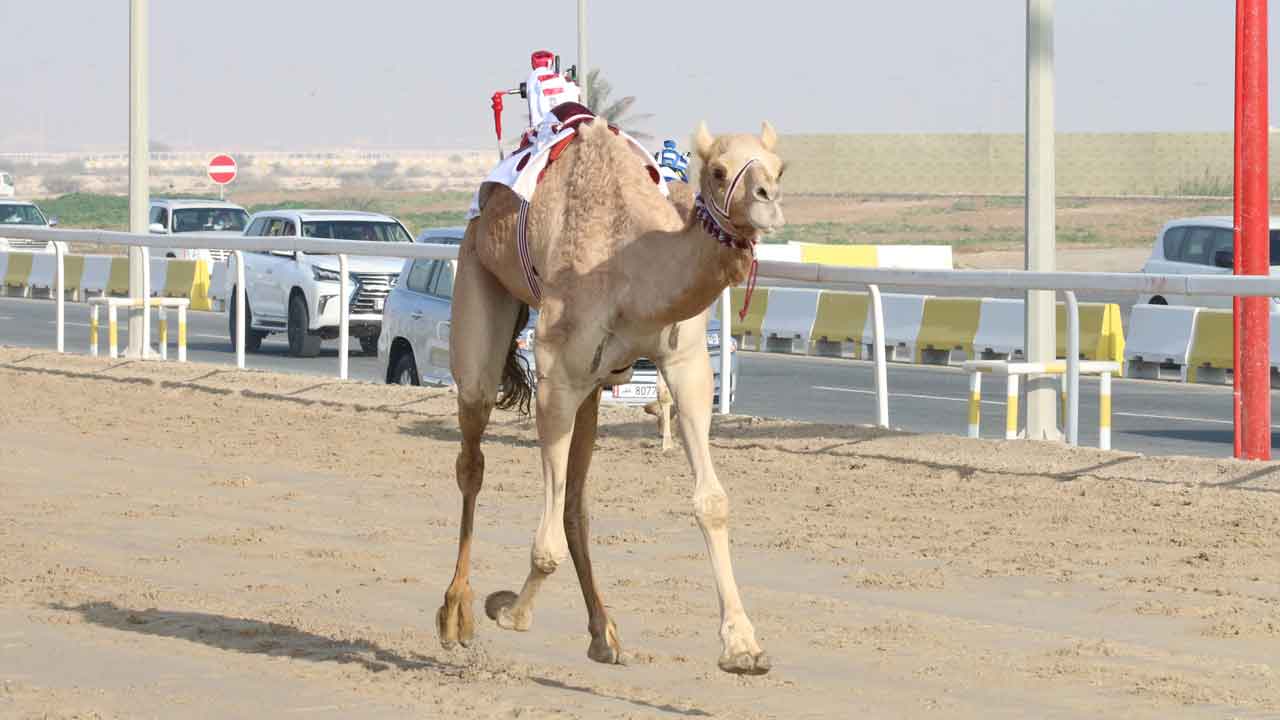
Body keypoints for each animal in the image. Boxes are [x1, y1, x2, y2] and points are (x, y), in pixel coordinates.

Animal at [436, 115, 785, 675]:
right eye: (717, 169)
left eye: (779, 167)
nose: (768, 200)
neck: (633, 268)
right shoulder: (556, 378)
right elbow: (546, 545)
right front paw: (508, 611)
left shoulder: (687, 365)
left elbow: (711, 501)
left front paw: (743, 647)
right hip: (476, 282)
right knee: (473, 455)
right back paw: (455, 615)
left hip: (595, 392)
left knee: (574, 502)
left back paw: (604, 633)